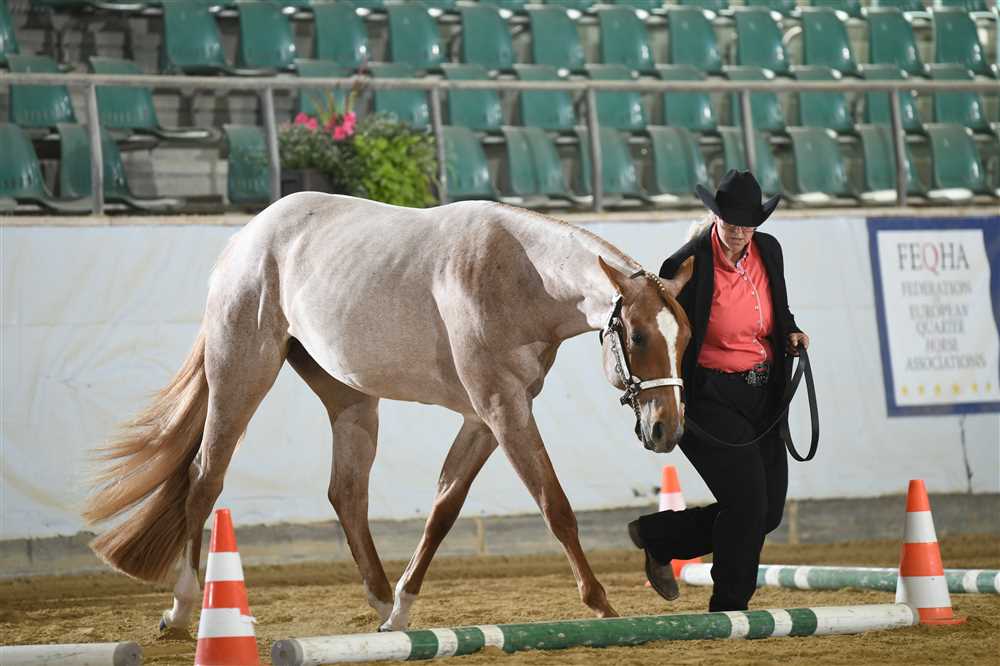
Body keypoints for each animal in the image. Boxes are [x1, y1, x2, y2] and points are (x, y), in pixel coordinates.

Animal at [83, 193, 694, 633]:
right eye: (637, 336)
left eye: (684, 336)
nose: (665, 429)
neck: (516, 275)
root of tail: (246, 238)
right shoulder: (503, 409)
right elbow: (555, 505)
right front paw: (601, 606)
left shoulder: (485, 418)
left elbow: (443, 510)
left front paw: (402, 608)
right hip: (239, 377)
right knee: (204, 479)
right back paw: (182, 610)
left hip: (350, 399)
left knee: (347, 495)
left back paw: (380, 603)